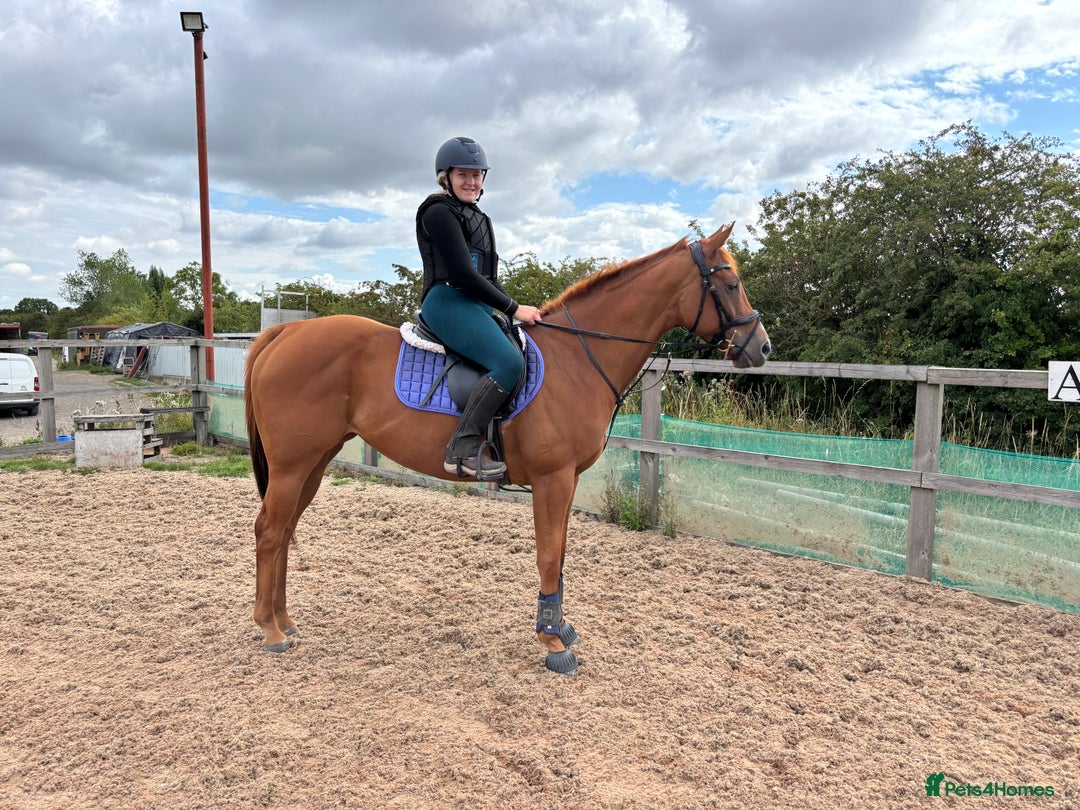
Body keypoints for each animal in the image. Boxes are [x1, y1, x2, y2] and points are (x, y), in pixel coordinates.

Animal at [244, 222, 771, 675]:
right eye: (728, 284)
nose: (761, 347)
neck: (577, 357)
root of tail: (284, 331)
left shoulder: (568, 480)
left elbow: (561, 553)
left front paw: (560, 626)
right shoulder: (552, 478)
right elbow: (548, 556)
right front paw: (552, 642)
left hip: (313, 463)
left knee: (284, 530)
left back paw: (285, 619)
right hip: (293, 465)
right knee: (269, 532)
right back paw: (270, 631)